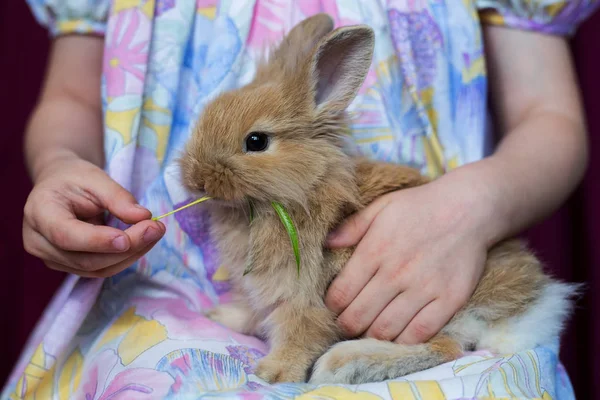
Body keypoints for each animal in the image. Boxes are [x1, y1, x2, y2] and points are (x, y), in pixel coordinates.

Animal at [179, 14, 576, 386]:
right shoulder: (262, 294)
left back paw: (344, 364)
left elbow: (298, 338)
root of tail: (534, 307)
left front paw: (272, 373)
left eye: (256, 141)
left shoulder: (304, 301)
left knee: (444, 347)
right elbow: (253, 312)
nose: (195, 178)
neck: (305, 188)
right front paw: (223, 316)